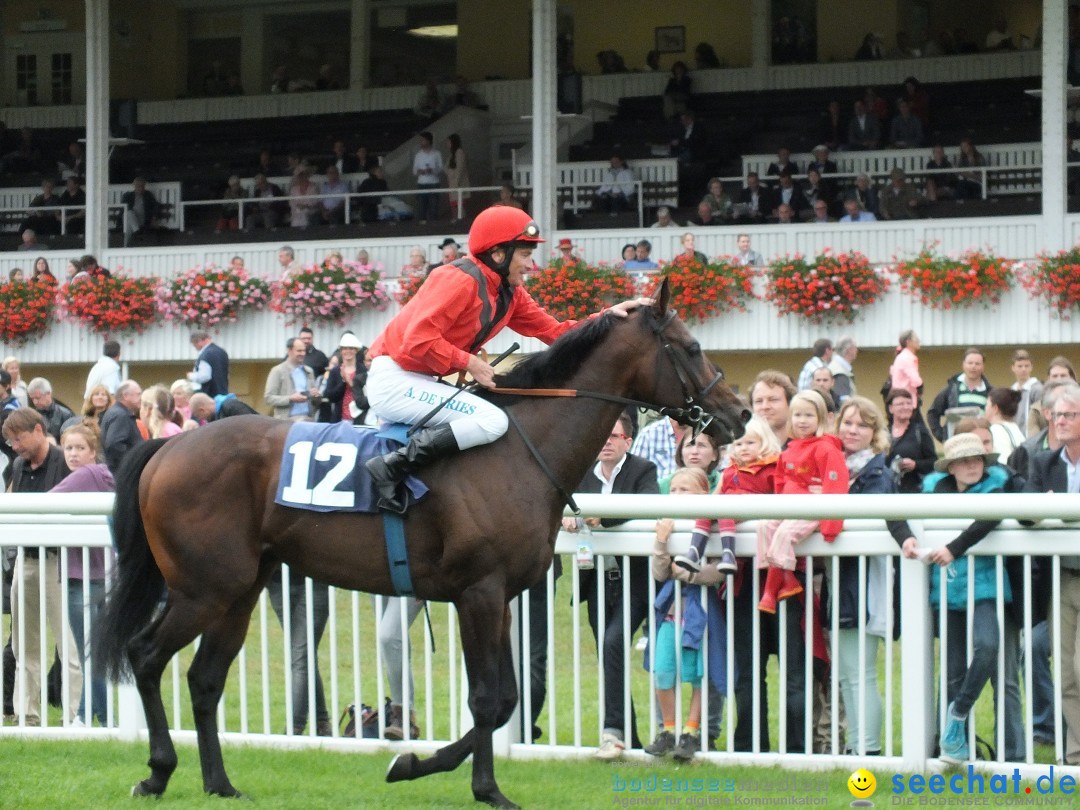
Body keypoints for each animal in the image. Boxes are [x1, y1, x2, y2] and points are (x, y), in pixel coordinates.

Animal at [97, 282, 747, 807]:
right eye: (691, 348)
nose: (738, 414)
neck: (518, 450)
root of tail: (169, 446)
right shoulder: (479, 592)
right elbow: (488, 699)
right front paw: (469, 783)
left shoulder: (496, 597)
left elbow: (503, 700)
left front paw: (427, 767)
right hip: (203, 588)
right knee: (146, 655)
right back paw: (157, 773)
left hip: (240, 589)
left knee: (205, 679)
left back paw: (220, 783)